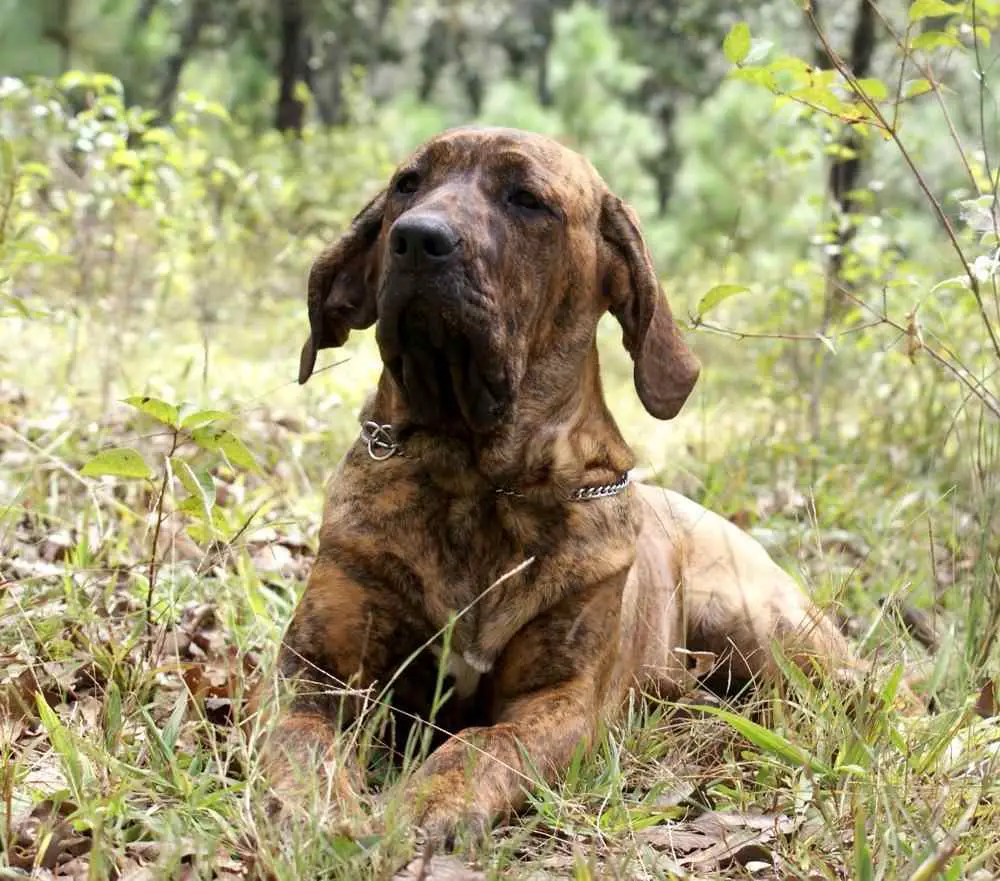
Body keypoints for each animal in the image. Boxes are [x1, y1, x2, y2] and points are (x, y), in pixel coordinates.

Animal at [270, 125, 856, 844]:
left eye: (527, 199)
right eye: (408, 184)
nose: (416, 237)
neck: (477, 479)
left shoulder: (560, 698)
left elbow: (484, 743)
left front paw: (431, 799)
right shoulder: (317, 672)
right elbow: (303, 740)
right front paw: (315, 807)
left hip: (758, 623)